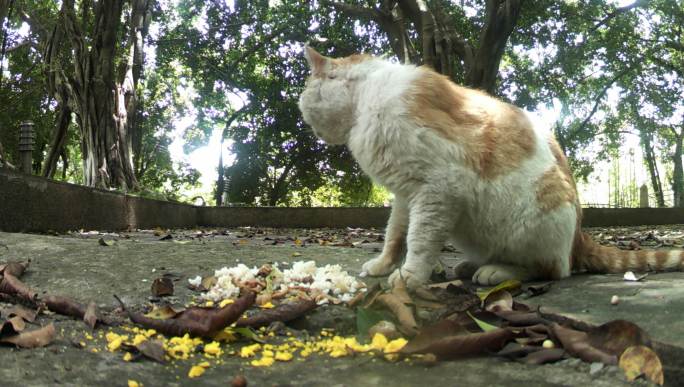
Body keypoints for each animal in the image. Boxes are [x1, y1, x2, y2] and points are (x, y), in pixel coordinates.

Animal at [298, 44, 684, 288]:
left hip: (538, 214)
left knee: (553, 269)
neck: (367, 98)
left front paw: (410, 276)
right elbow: (396, 234)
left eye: (304, 97)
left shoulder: (438, 188)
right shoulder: (407, 194)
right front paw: (383, 265)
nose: (310, 127)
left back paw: (497, 271)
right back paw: (473, 264)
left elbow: (419, 239)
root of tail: (580, 239)